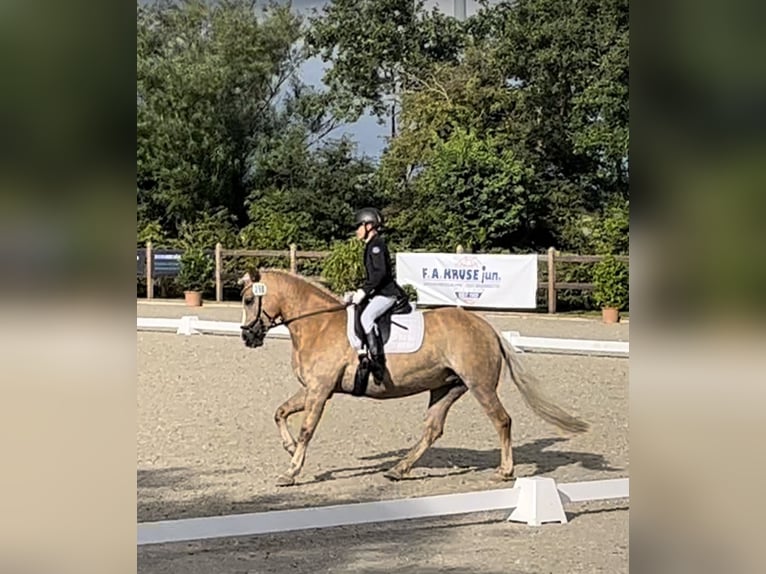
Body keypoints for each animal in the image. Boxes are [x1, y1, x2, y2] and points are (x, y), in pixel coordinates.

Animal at [238, 268, 588, 486]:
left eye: (248, 300)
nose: (247, 336)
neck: (318, 324)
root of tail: (488, 328)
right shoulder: (314, 389)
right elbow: (280, 412)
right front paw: (289, 448)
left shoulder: (320, 390)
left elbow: (307, 429)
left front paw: (291, 470)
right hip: (447, 387)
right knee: (433, 429)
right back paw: (399, 469)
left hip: (480, 386)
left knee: (502, 421)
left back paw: (505, 472)